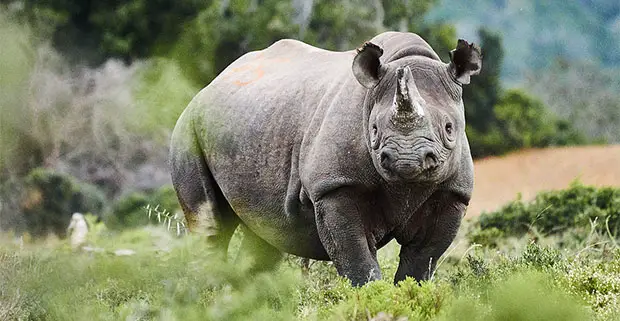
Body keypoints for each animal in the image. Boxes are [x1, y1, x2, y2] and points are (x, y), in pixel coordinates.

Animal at [171, 31, 484, 284]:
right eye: (373, 130)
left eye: (449, 128)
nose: (406, 160)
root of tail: (208, 86)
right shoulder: (335, 187)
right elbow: (356, 257)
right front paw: (371, 298)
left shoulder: (452, 194)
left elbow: (422, 261)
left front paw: (410, 295)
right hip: (187, 128)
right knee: (210, 223)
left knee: (265, 232)